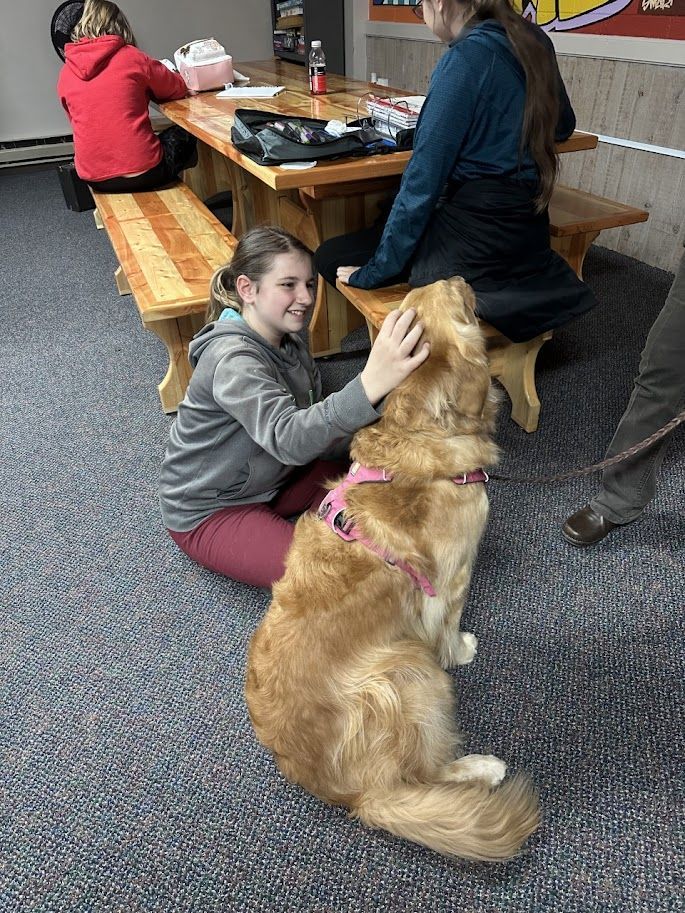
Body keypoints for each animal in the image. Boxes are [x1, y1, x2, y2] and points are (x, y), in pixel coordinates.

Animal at [246, 280, 540, 864]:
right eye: (459, 301)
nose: (465, 280)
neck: (419, 429)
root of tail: (355, 797)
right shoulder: (452, 580)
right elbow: (448, 627)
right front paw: (462, 649)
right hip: (407, 669)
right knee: (424, 774)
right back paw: (481, 768)